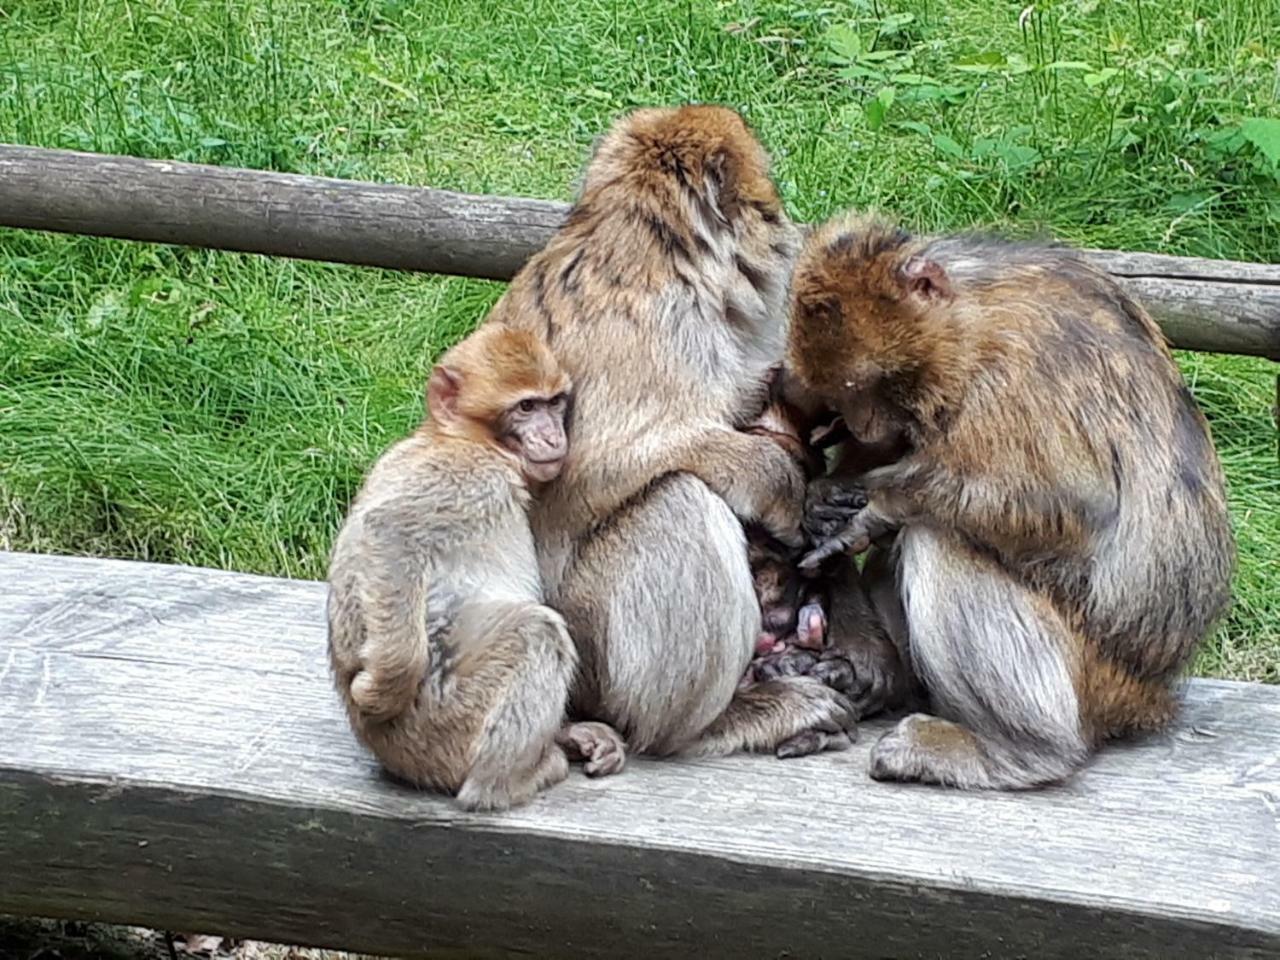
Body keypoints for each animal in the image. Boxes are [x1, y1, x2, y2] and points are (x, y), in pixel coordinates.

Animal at [327, 323, 627, 814]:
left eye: (554, 402)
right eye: (526, 407)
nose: (552, 436)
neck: (462, 439)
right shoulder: (469, 477)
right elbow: (389, 532)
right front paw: (384, 689)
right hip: (444, 722)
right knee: (537, 632)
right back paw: (508, 781)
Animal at [486, 101, 860, 757]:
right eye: (770, 205)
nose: (789, 230)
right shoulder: (656, 330)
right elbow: (588, 467)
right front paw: (783, 486)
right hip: (588, 655)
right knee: (677, 499)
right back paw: (722, 721)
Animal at [783, 216, 1233, 788]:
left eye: (870, 386)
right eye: (843, 398)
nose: (860, 424)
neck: (972, 324)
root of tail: (1149, 694)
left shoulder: (1019, 373)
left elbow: (1077, 506)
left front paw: (877, 504)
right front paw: (827, 497)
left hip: (1096, 677)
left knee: (938, 538)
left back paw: (1021, 750)